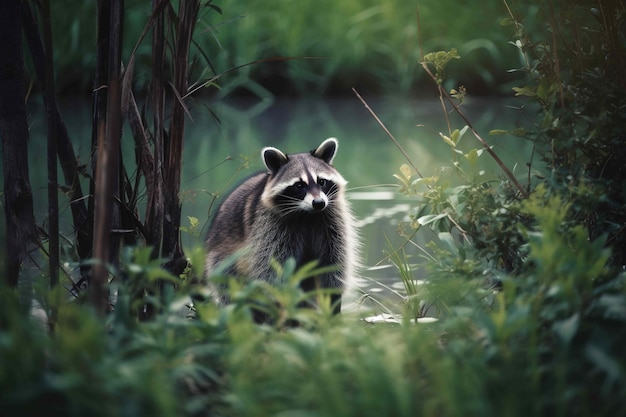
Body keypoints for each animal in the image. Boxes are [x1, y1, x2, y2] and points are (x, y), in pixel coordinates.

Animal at [205, 138, 356, 314]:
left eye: (322, 182)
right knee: (230, 283)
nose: (319, 203)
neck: (308, 214)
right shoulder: (269, 227)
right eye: (299, 185)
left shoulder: (332, 221)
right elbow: (272, 269)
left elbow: (333, 264)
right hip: (222, 258)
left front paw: (332, 304)